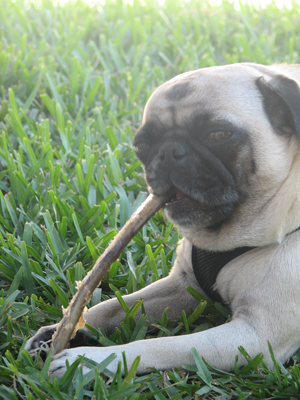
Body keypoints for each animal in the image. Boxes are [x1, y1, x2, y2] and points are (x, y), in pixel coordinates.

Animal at [24, 63, 300, 378]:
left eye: (219, 135)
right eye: (142, 145)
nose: (170, 151)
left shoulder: (255, 338)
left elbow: (163, 346)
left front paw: (88, 361)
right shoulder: (183, 285)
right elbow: (111, 307)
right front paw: (60, 331)